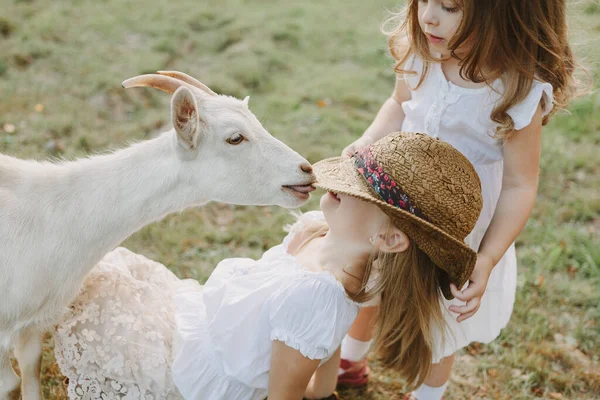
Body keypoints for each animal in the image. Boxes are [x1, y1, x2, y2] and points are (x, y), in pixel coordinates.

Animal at [0, 70, 316, 398]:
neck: (52, 215)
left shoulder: (29, 321)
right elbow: (11, 383)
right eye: (235, 138)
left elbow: (30, 366)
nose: (306, 169)